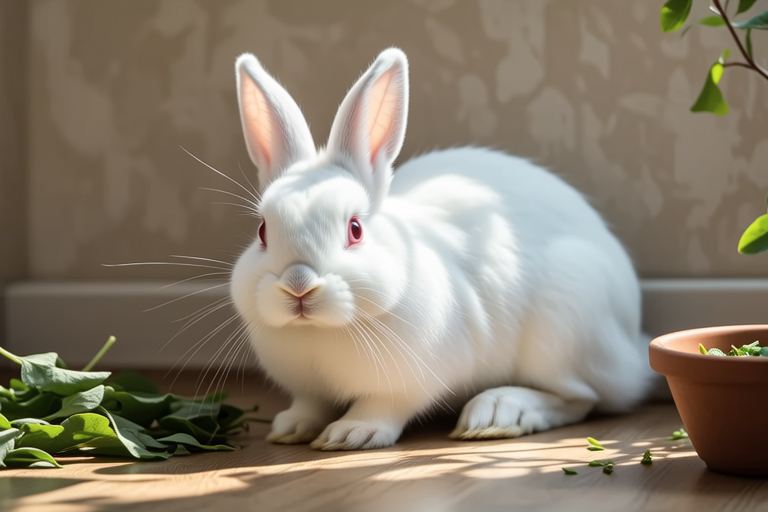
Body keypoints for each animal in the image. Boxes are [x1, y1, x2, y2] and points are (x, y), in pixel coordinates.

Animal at [229, 47, 655, 451]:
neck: (319, 331)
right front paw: (291, 428)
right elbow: (310, 404)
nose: (298, 284)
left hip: (562, 333)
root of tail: (633, 352)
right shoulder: (309, 389)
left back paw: (498, 413)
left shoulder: (410, 382)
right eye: (263, 231)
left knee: (581, 397)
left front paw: (351, 433)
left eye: (355, 229)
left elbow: (383, 406)